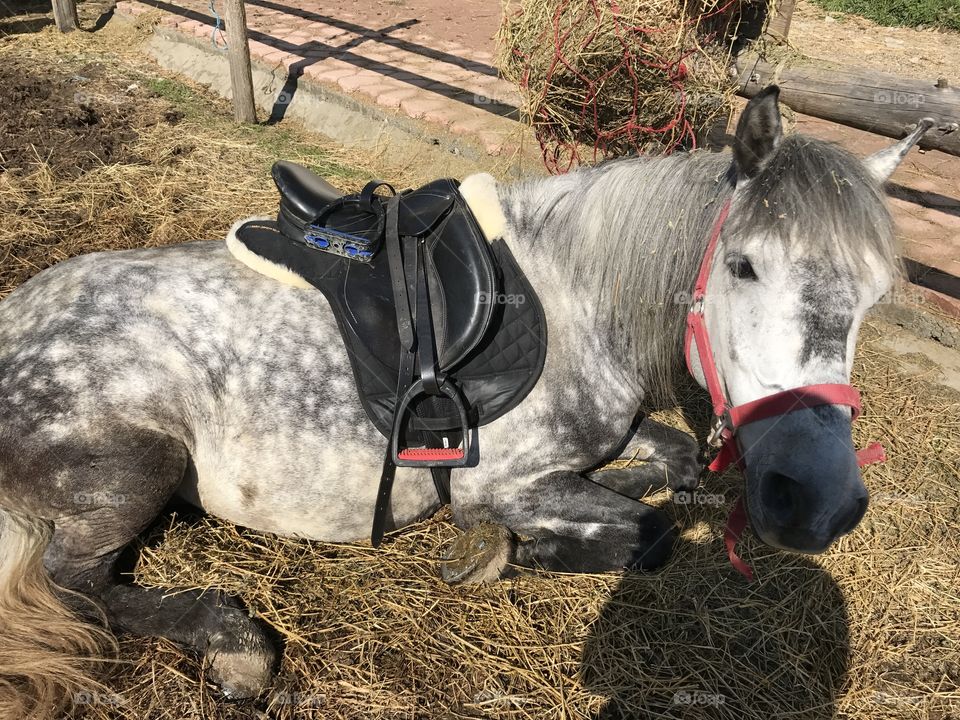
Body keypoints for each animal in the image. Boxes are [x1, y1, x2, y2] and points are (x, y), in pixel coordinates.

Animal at [0, 87, 928, 717]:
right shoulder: (496, 480)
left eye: (876, 295)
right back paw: (232, 644)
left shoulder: (611, 433)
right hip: (133, 462)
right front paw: (511, 548)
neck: (577, 296)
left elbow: (671, 460)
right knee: (76, 585)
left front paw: (615, 490)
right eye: (744, 266)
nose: (818, 500)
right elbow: (650, 534)